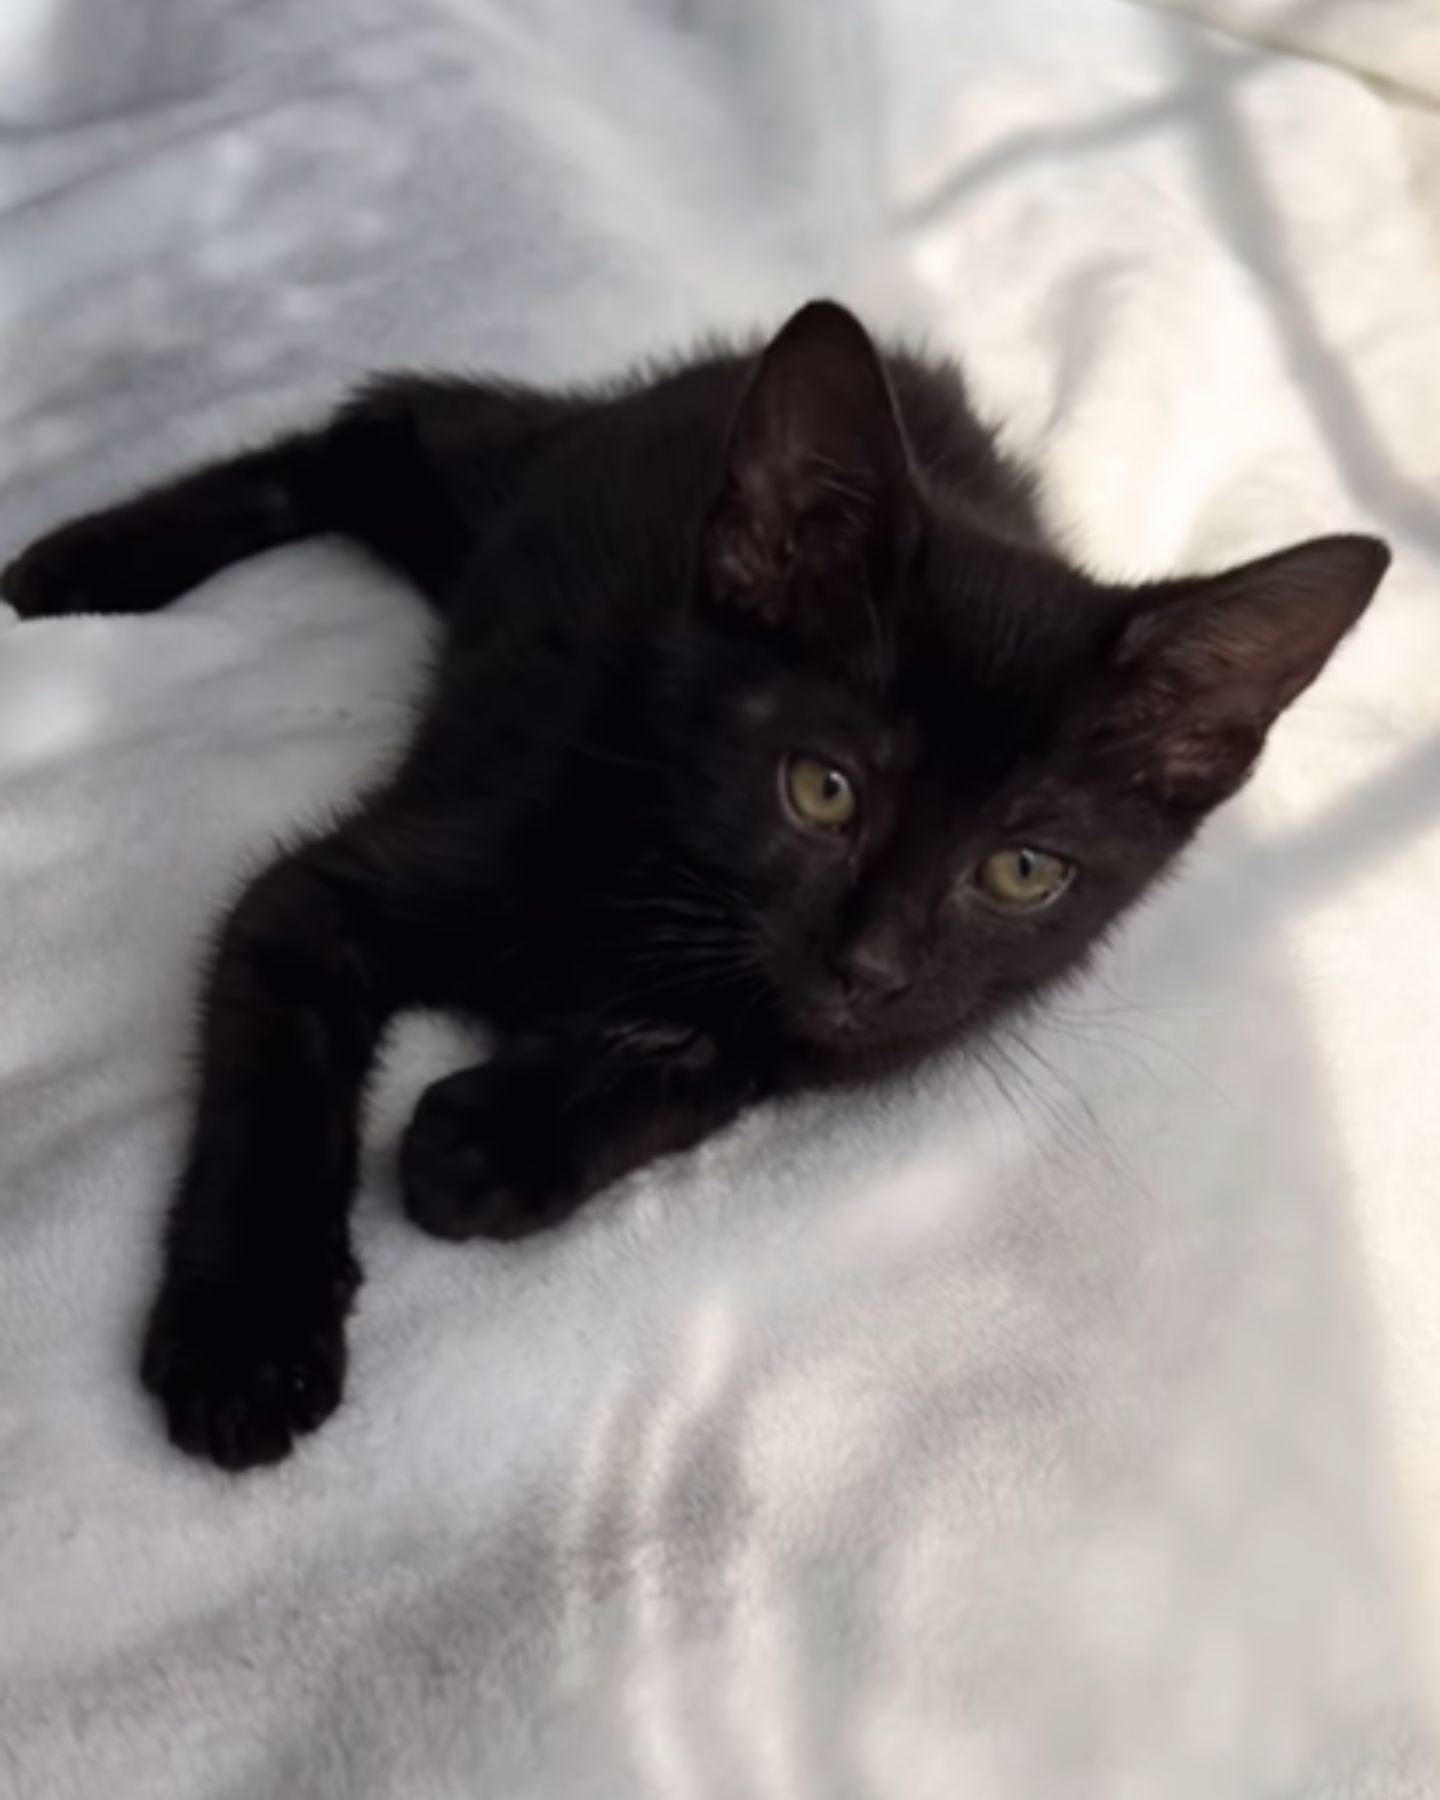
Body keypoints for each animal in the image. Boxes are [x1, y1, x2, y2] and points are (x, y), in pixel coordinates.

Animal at [5, 302, 1389, 1468]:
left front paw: (501, 1136)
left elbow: (728, 1062)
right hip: (511, 502)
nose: (872, 963)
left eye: (1023, 870)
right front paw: (246, 1336)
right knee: (374, 428)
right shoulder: (338, 891)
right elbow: (277, 1082)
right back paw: (81, 568)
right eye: (821, 790)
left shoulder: (880, 1033)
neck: (669, 878)